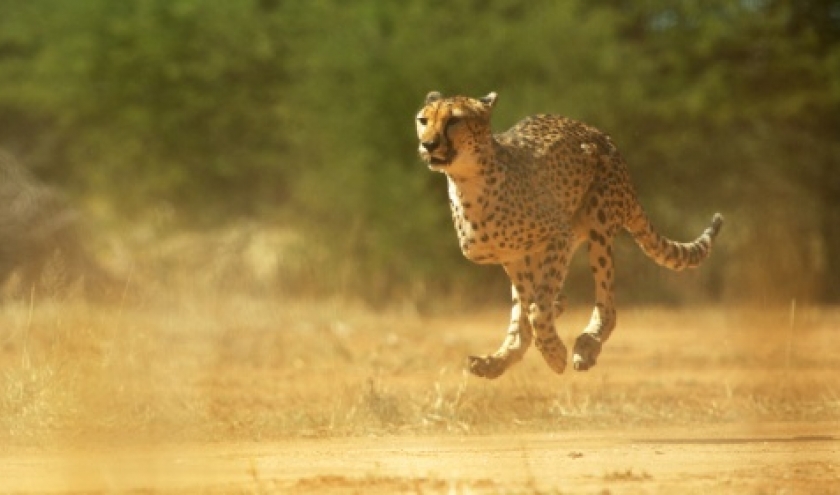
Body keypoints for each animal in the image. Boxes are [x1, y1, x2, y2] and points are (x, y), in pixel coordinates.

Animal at [414, 92, 720, 380]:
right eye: (423, 120)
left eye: (454, 121)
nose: (428, 144)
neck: (468, 182)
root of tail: (600, 134)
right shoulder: (513, 256)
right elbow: (530, 307)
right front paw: (540, 340)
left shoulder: (559, 234)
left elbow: (538, 308)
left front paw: (555, 354)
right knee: (532, 308)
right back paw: (494, 362)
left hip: (599, 221)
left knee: (607, 306)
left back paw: (586, 346)